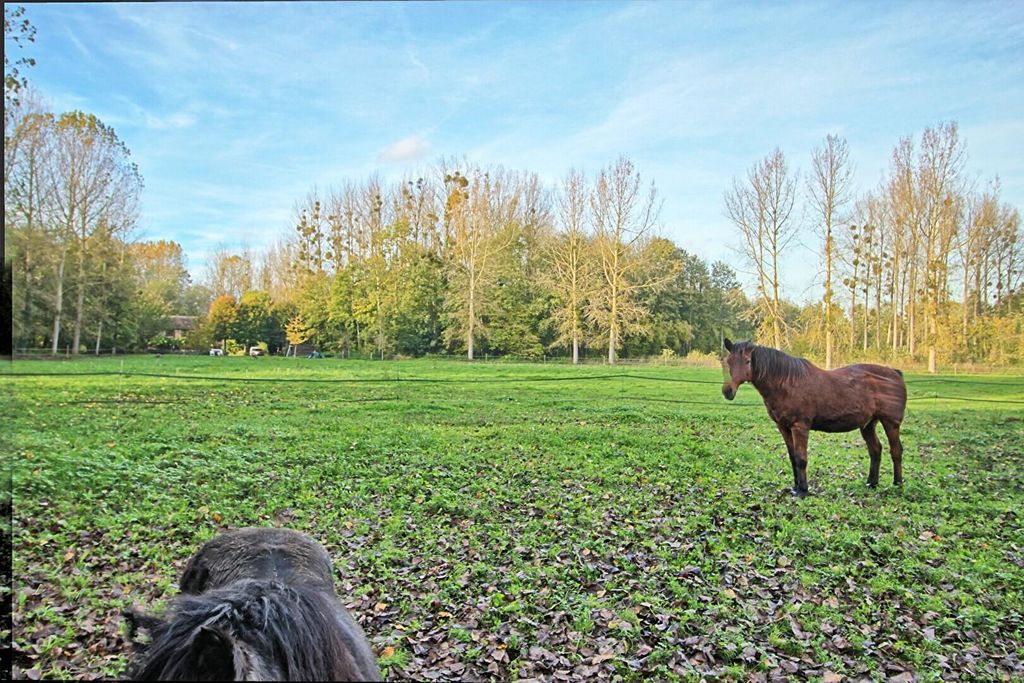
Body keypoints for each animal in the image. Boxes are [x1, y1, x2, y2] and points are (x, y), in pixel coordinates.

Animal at [720, 339, 905, 497]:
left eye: (747, 361)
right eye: (729, 361)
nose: (728, 391)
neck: (787, 383)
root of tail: (895, 373)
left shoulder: (800, 427)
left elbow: (801, 459)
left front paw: (803, 490)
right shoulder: (783, 427)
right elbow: (793, 457)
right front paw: (795, 487)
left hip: (891, 423)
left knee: (896, 451)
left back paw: (898, 484)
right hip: (867, 424)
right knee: (875, 450)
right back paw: (871, 484)